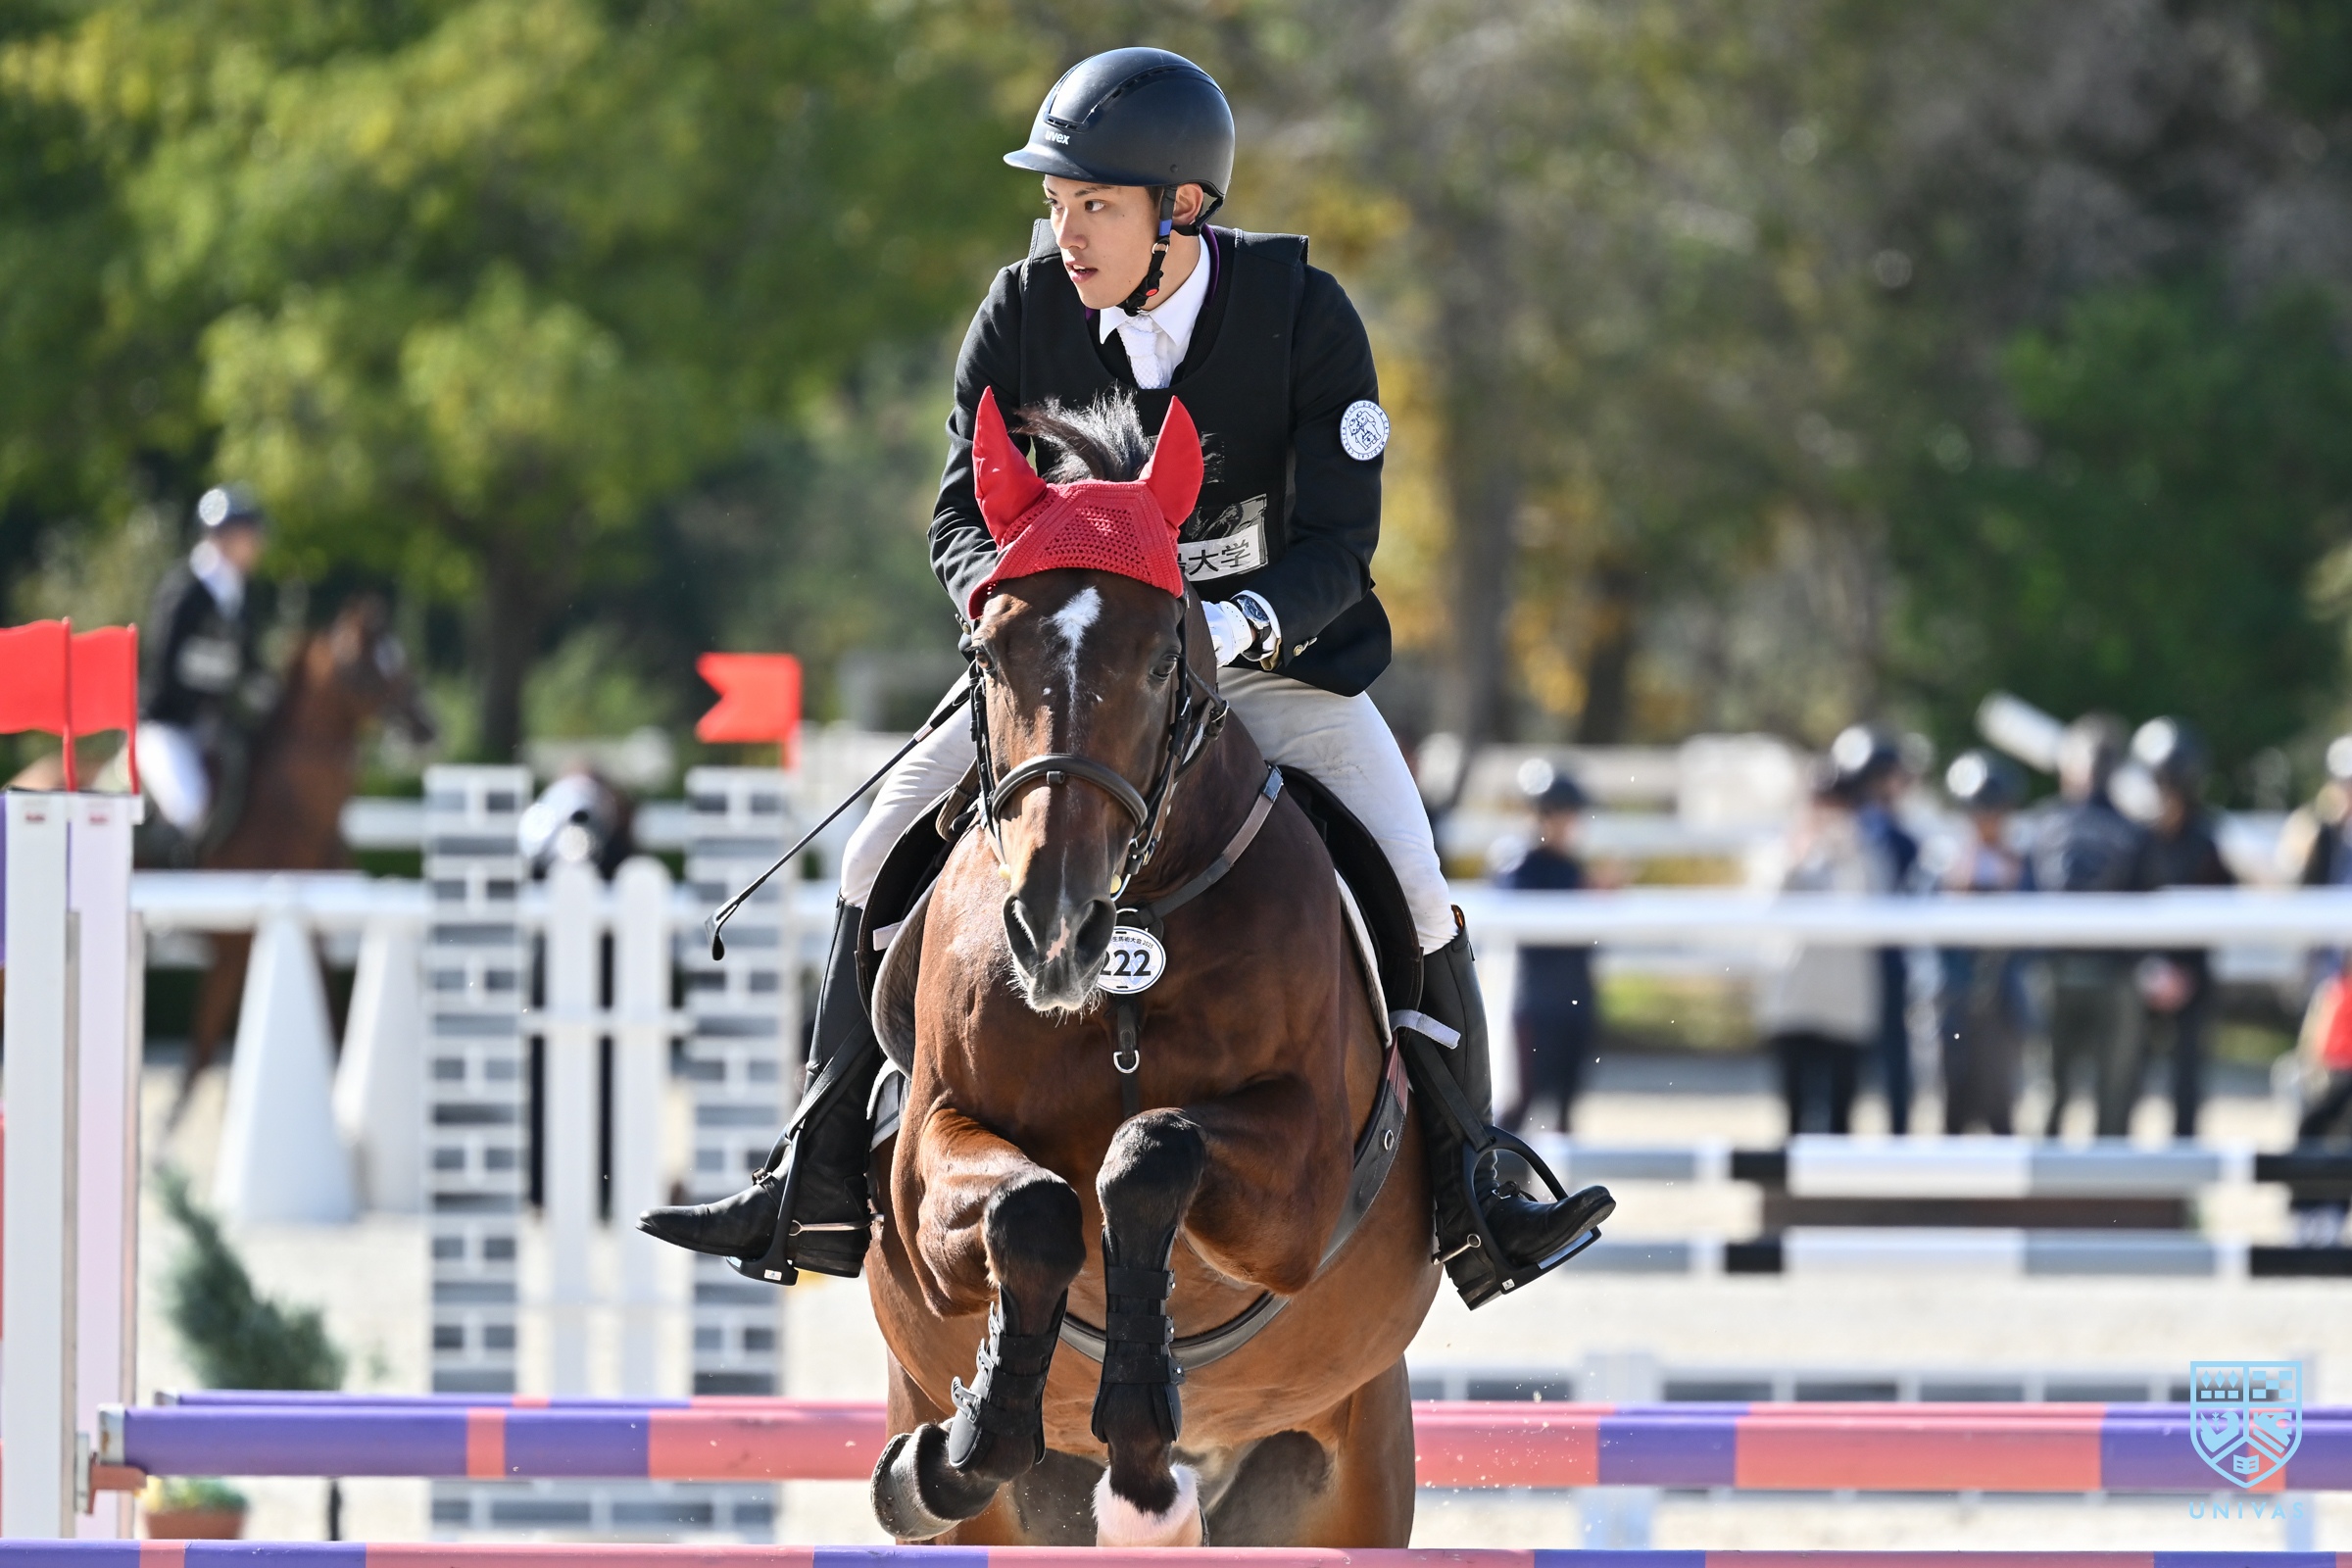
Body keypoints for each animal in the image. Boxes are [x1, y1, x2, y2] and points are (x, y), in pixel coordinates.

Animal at [860, 392, 1438, 1547]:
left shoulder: (1303, 1183)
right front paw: (968, 1442)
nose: (1053, 929)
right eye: (989, 653)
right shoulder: (929, 1154)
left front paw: (1139, 1423)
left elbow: (1146, 1150)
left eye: (1163, 661)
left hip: (1355, 1472)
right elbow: (1032, 1206)